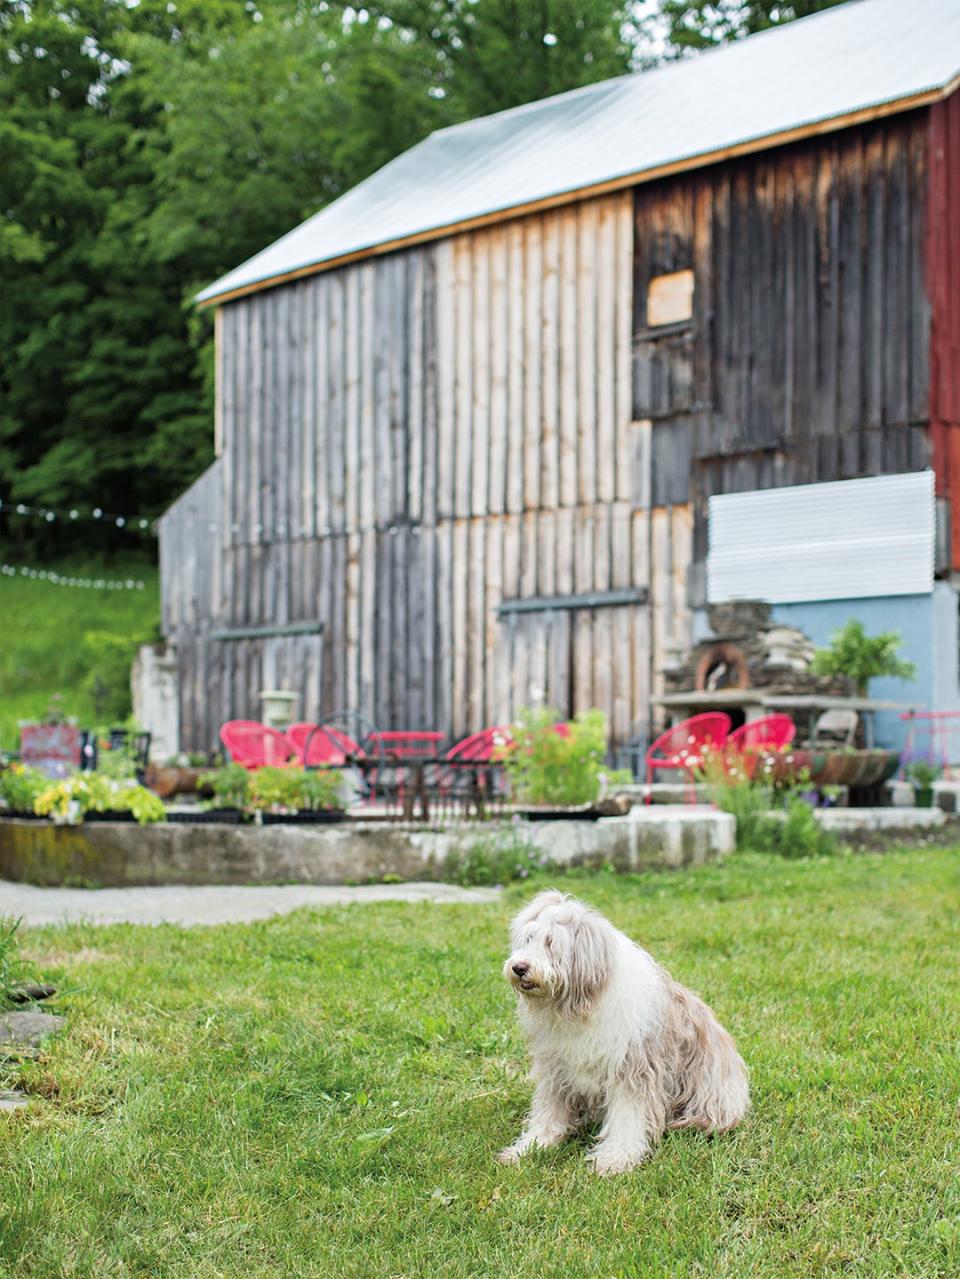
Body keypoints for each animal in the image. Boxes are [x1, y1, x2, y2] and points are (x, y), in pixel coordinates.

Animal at [495, 890, 751, 1176]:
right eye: (528, 939)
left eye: (551, 943)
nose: (519, 967)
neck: (580, 1006)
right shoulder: (557, 1068)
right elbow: (549, 1113)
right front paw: (530, 1147)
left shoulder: (634, 1069)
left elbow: (628, 1119)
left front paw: (614, 1159)